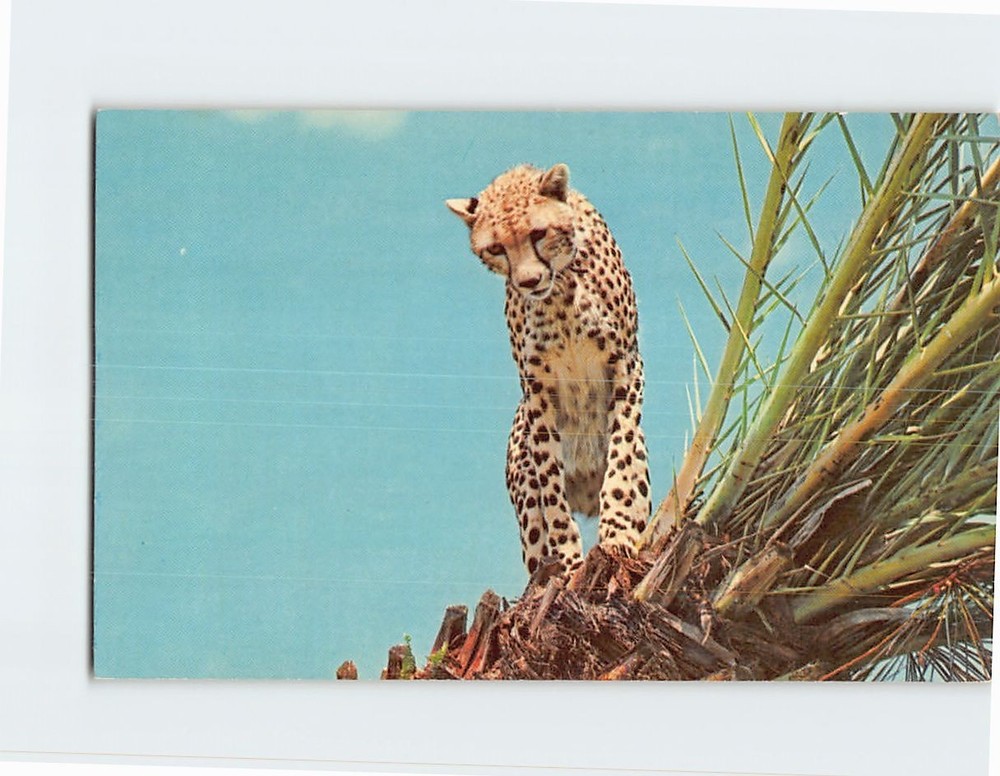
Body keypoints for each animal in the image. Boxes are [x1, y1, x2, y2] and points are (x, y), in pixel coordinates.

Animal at [447, 163, 651, 578]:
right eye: (496, 248)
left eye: (538, 234)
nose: (529, 281)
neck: (560, 289)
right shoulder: (538, 391)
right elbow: (551, 489)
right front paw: (569, 562)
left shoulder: (626, 364)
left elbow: (623, 456)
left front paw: (618, 533)